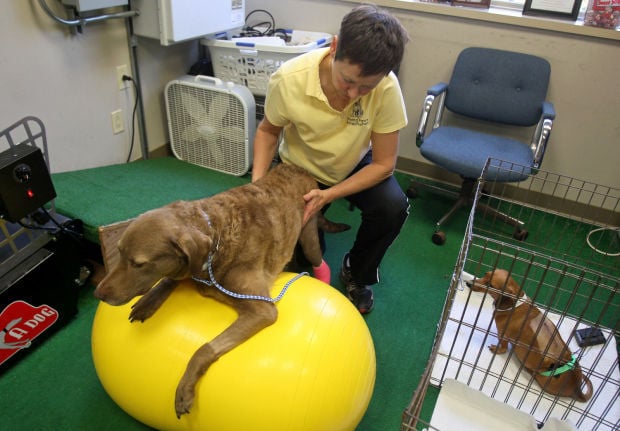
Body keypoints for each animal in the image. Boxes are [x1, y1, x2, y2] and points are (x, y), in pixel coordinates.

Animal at [95, 164, 352, 416]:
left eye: (138, 263)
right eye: (119, 252)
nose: (99, 294)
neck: (218, 236)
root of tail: (297, 167)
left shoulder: (262, 309)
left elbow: (203, 349)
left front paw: (184, 390)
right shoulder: (190, 268)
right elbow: (170, 278)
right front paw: (148, 302)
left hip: (309, 235)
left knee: (316, 258)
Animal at [468, 268, 592, 404]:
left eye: (491, 285)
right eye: (486, 274)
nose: (468, 283)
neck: (516, 304)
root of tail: (577, 389)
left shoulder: (503, 334)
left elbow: (503, 348)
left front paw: (497, 349)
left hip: (540, 375)